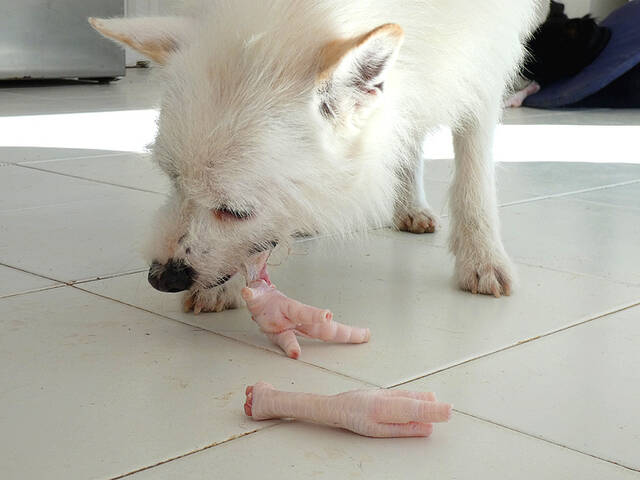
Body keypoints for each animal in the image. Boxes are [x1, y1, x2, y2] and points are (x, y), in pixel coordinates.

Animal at [90, 0, 547, 313]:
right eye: (172, 181)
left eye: (236, 211)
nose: (160, 279)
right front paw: (223, 288)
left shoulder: (483, 67)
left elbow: (474, 178)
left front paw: (482, 257)